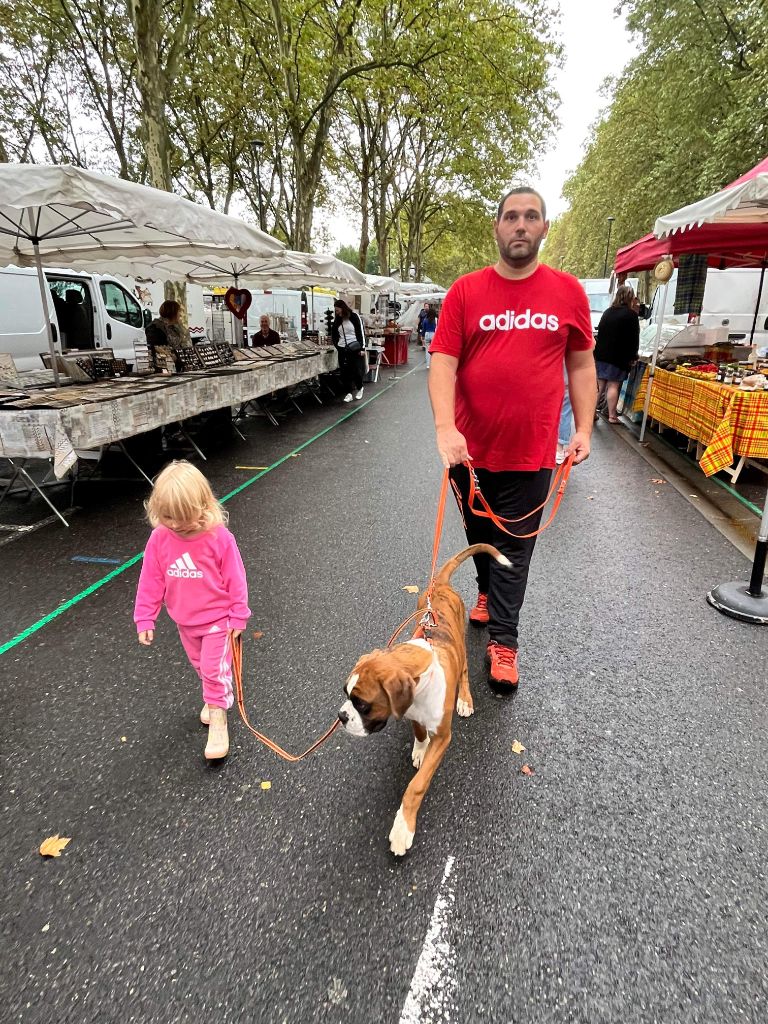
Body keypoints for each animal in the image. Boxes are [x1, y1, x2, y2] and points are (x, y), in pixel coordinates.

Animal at [338, 543, 510, 855]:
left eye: (363, 705)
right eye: (346, 694)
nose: (341, 717)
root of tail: (439, 585)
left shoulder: (443, 736)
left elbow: (416, 786)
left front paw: (402, 828)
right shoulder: (411, 712)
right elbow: (418, 730)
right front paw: (420, 748)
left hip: (461, 645)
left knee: (465, 671)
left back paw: (465, 698)